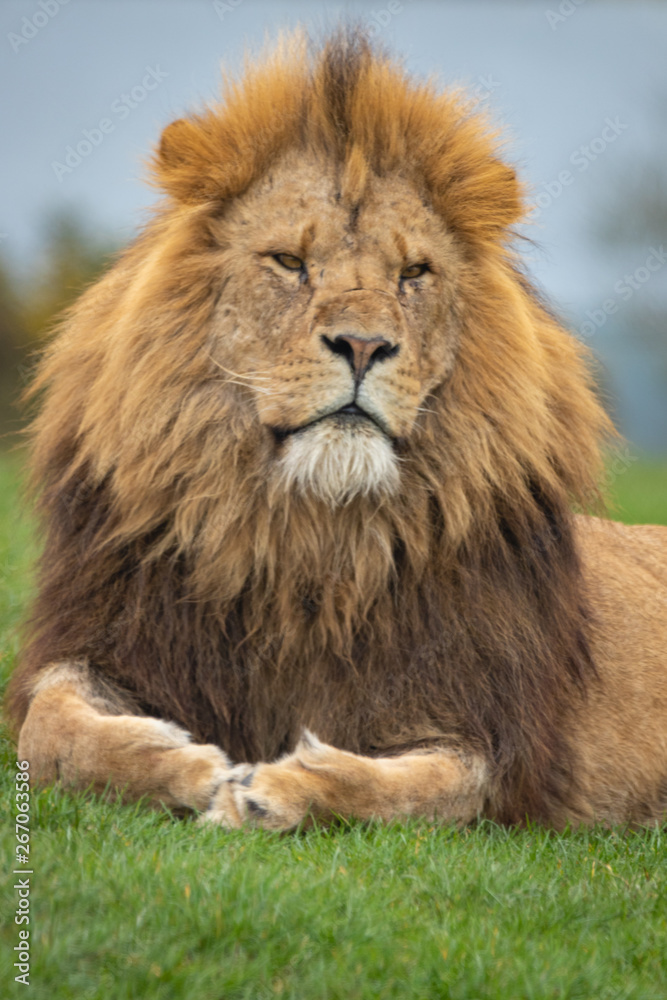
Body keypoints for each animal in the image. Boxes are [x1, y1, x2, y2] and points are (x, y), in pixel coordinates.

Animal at [6, 29, 667, 828]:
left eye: (413, 273)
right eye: (290, 262)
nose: (362, 344)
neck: (310, 541)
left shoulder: (491, 742)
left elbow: (400, 790)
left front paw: (272, 790)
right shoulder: (105, 638)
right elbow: (50, 729)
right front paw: (184, 763)